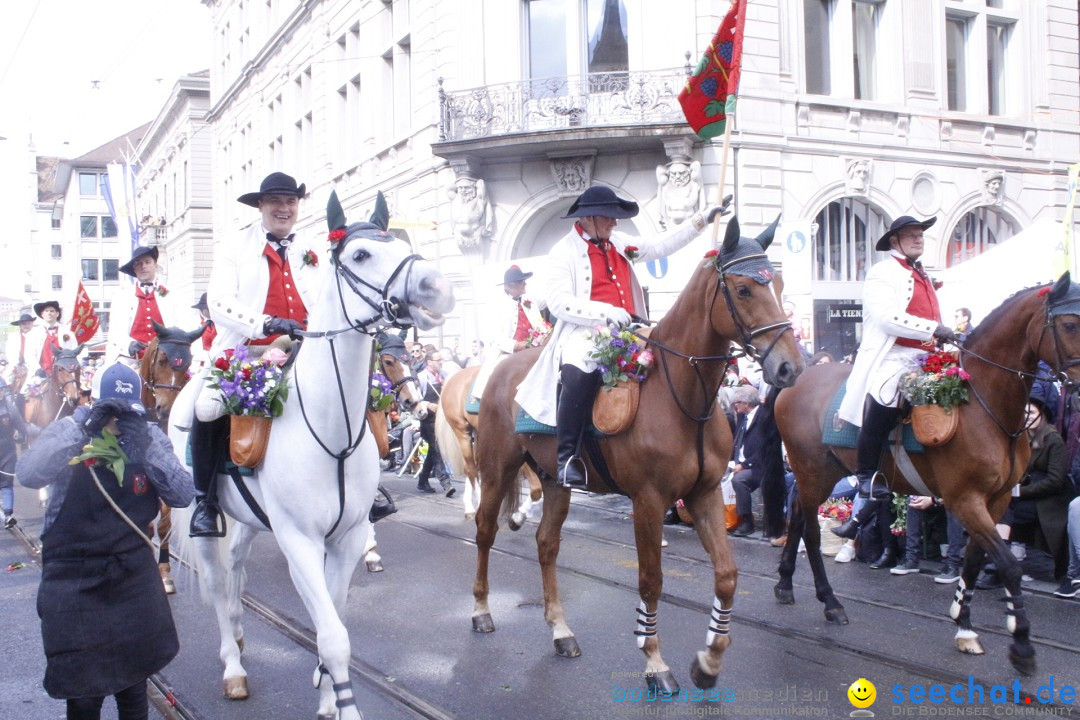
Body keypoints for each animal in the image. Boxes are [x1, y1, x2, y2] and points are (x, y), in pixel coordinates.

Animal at [169, 193, 455, 720]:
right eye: (361, 254)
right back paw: (233, 665)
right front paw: (342, 702)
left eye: (401, 242)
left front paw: (326, 693)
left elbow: (334, 620)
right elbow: (333, 637)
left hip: (248, 520)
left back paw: (239, 631)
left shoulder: (346, 537)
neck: (330, 432)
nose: (438, 289)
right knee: (218, 584)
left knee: (236, 571)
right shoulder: (299, 540)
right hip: (209, 519)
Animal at [434, 367, 544, 524]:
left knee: (473, 466)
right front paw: (520, 515)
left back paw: (470, 507)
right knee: (471, 469)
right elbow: (536, 489)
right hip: (462, 431)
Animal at [470, 216, 803, 695]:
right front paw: (654, 662)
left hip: (555, 480)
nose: (790, 368)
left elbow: (726, 576)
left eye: (777, 282)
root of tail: (499, 370)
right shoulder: (648, 501)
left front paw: (709, 660)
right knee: (484, 531)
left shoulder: (703, 495)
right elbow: (650, 582)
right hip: (497, 469)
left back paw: (560, 630)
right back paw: (481, 610)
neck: (682, 394)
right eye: (743, 290)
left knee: (547, 544)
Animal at [773, 274, 1080, 677]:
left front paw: (964, 625)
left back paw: (785, 584)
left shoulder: (995, 501)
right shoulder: (964, 500)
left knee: (795, 515)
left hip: (820, 473)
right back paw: (829, 601)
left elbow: (976, 559)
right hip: (812, 471)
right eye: (1071, 324)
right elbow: (1008, 565)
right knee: (808, 528)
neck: (981, 403)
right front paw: (1022, 645)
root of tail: (798, 379)